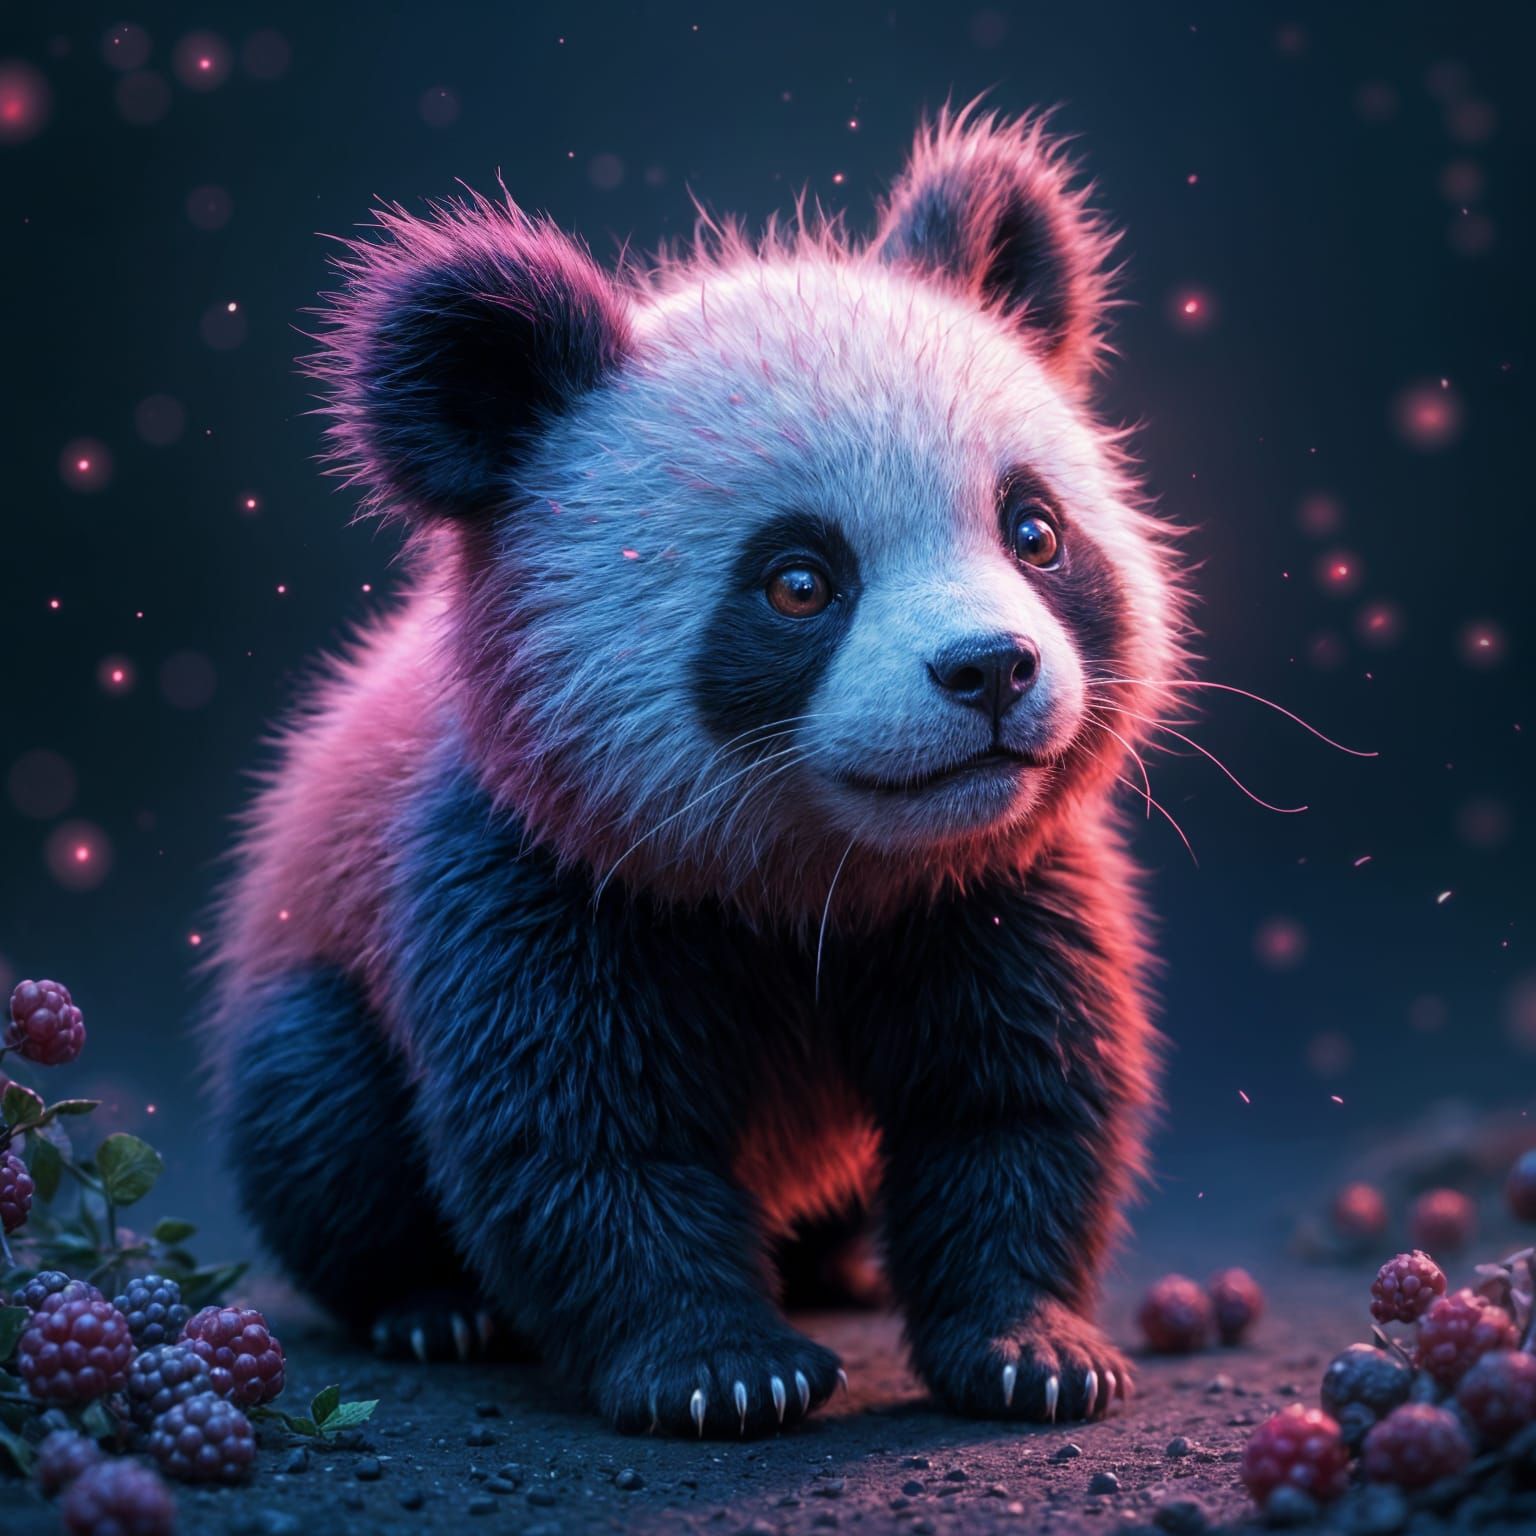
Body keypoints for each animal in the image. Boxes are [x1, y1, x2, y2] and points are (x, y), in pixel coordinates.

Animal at [210, 105, 1187, 1438]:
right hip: (319, 946)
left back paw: (844, 1267)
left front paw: (1031, 1349)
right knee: (320, 1116)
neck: (814, 870)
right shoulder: (537, 861)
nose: (991, 671)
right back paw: (429, 1308)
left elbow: (1017, 1095)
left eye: (1033, 531)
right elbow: (584, 1133)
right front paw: (723, 1371)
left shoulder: (991, 881)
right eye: (799, 582)